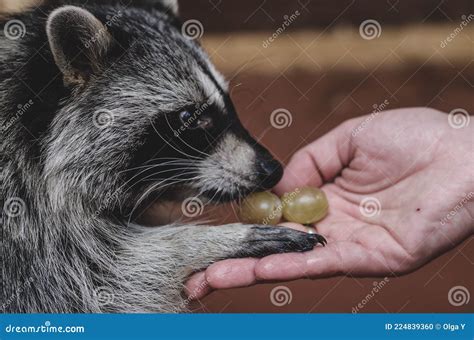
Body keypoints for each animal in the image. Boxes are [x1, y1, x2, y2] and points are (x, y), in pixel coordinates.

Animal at [0, 0, 326, 314]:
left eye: (228, 101)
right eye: (190, 117)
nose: (273, 170)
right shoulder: (21, 222)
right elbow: (105, 276)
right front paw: (204, 242)